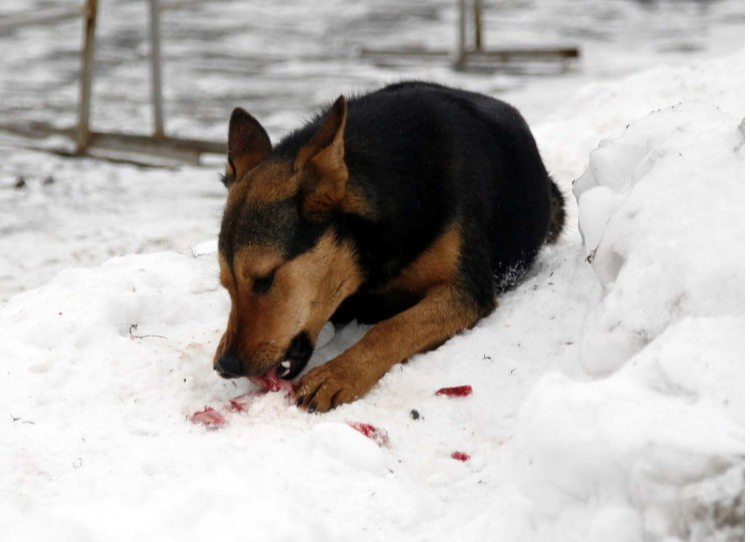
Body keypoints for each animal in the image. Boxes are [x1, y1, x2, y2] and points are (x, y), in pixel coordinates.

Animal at [212, 82, 564, 412]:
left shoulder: (467, 291)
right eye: (226, 285)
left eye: (265, 279)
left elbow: (393, 327)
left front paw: (340, 373)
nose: (226, 366)